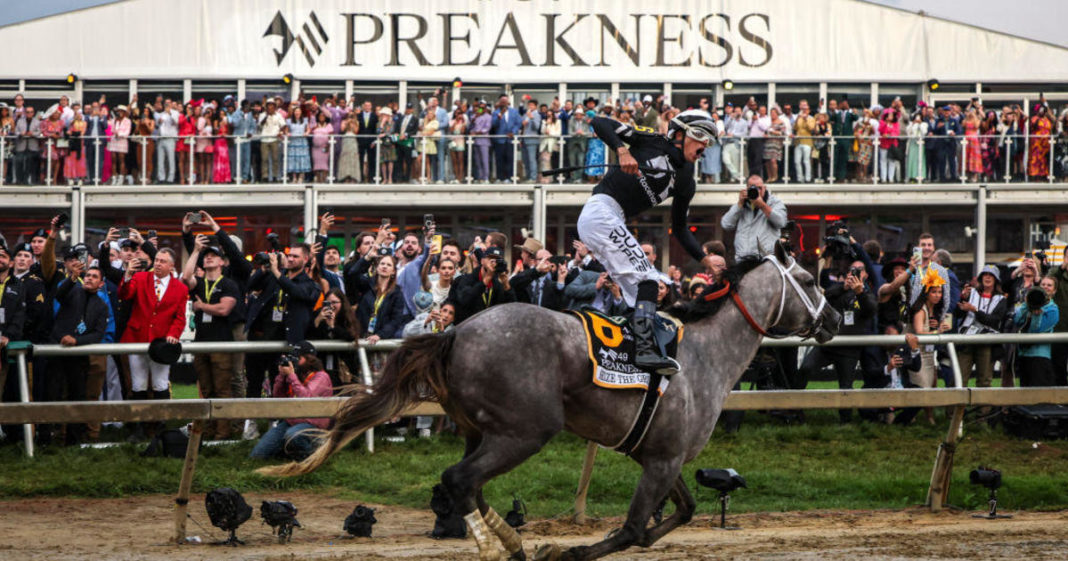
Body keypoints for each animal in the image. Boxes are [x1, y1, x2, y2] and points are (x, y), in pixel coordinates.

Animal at [258, 246, 833, 559]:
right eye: (807, 280)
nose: (832, 320)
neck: (703, 356)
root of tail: (456, 331)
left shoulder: (659, 456)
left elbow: (680, 514)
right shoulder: (663, 459)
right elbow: (631, 530)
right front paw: (568, 549)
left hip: (482, 430)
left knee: (466, 485)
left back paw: (509, 543)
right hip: (525, 431)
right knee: (461, 481)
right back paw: (500, 549)